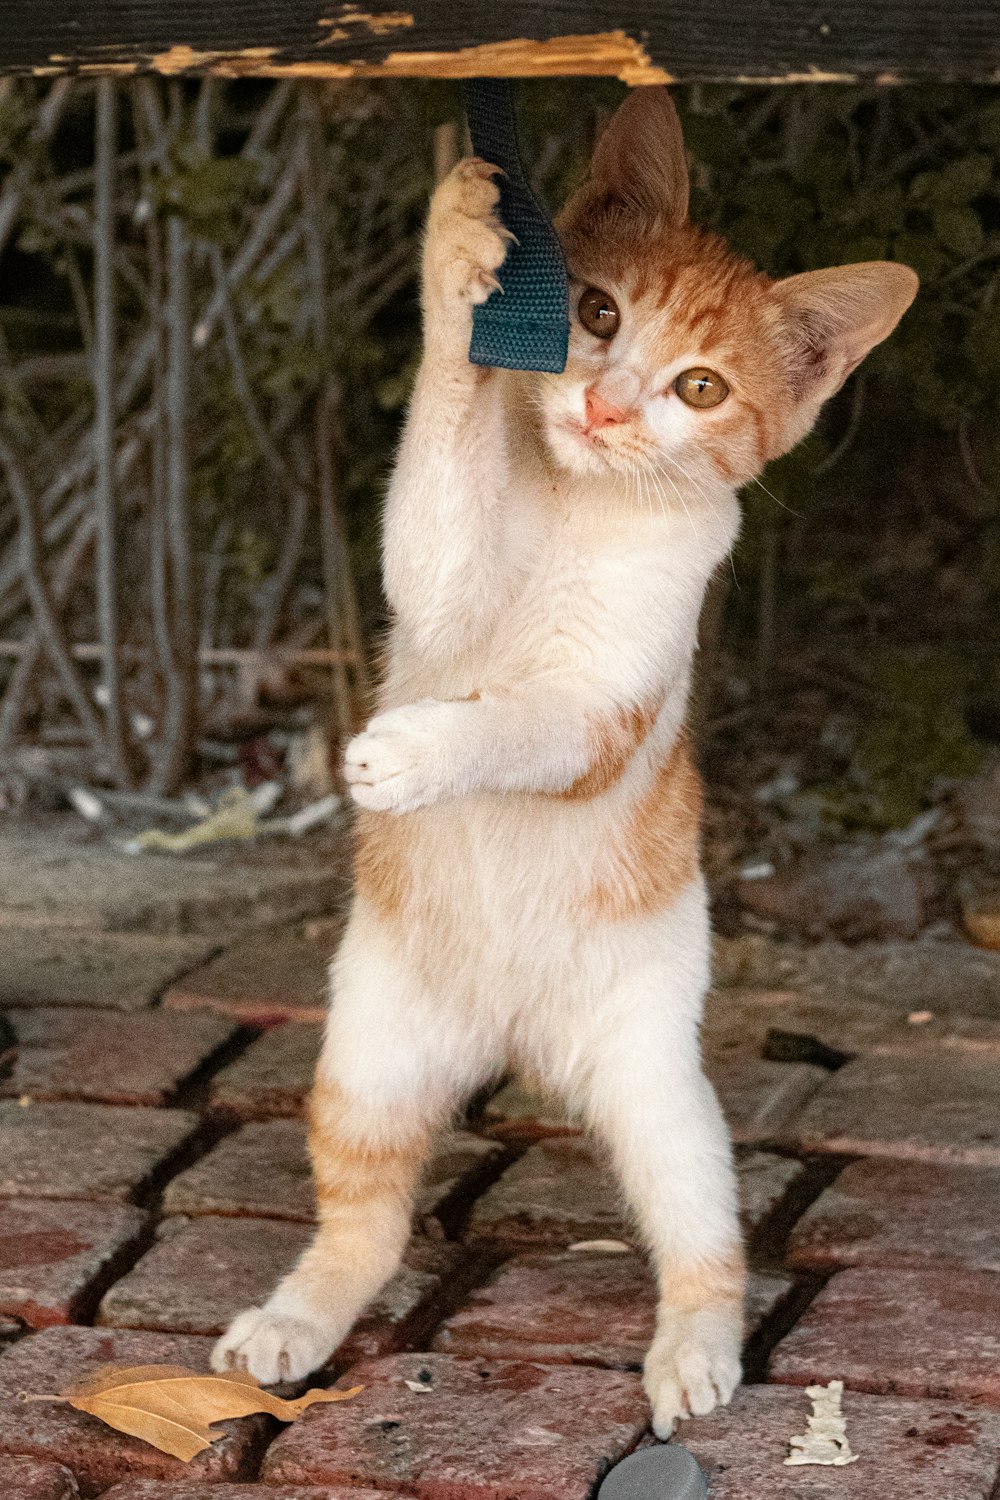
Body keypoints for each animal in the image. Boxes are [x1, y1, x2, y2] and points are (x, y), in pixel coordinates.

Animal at [215, 87, 917, 1434]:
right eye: (594, 316)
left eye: (700, 385)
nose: (606, 408)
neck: (590, 502)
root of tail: (518, 1042)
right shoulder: (435, 593)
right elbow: (440, 484)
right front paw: (459, 256)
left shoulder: (608, 709)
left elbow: (529, 721)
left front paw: (419, 753)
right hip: (370, 1048)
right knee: (370, 1220)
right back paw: (296, 1316)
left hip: (658, 1086)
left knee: (704, 1235)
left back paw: (695, 1352)